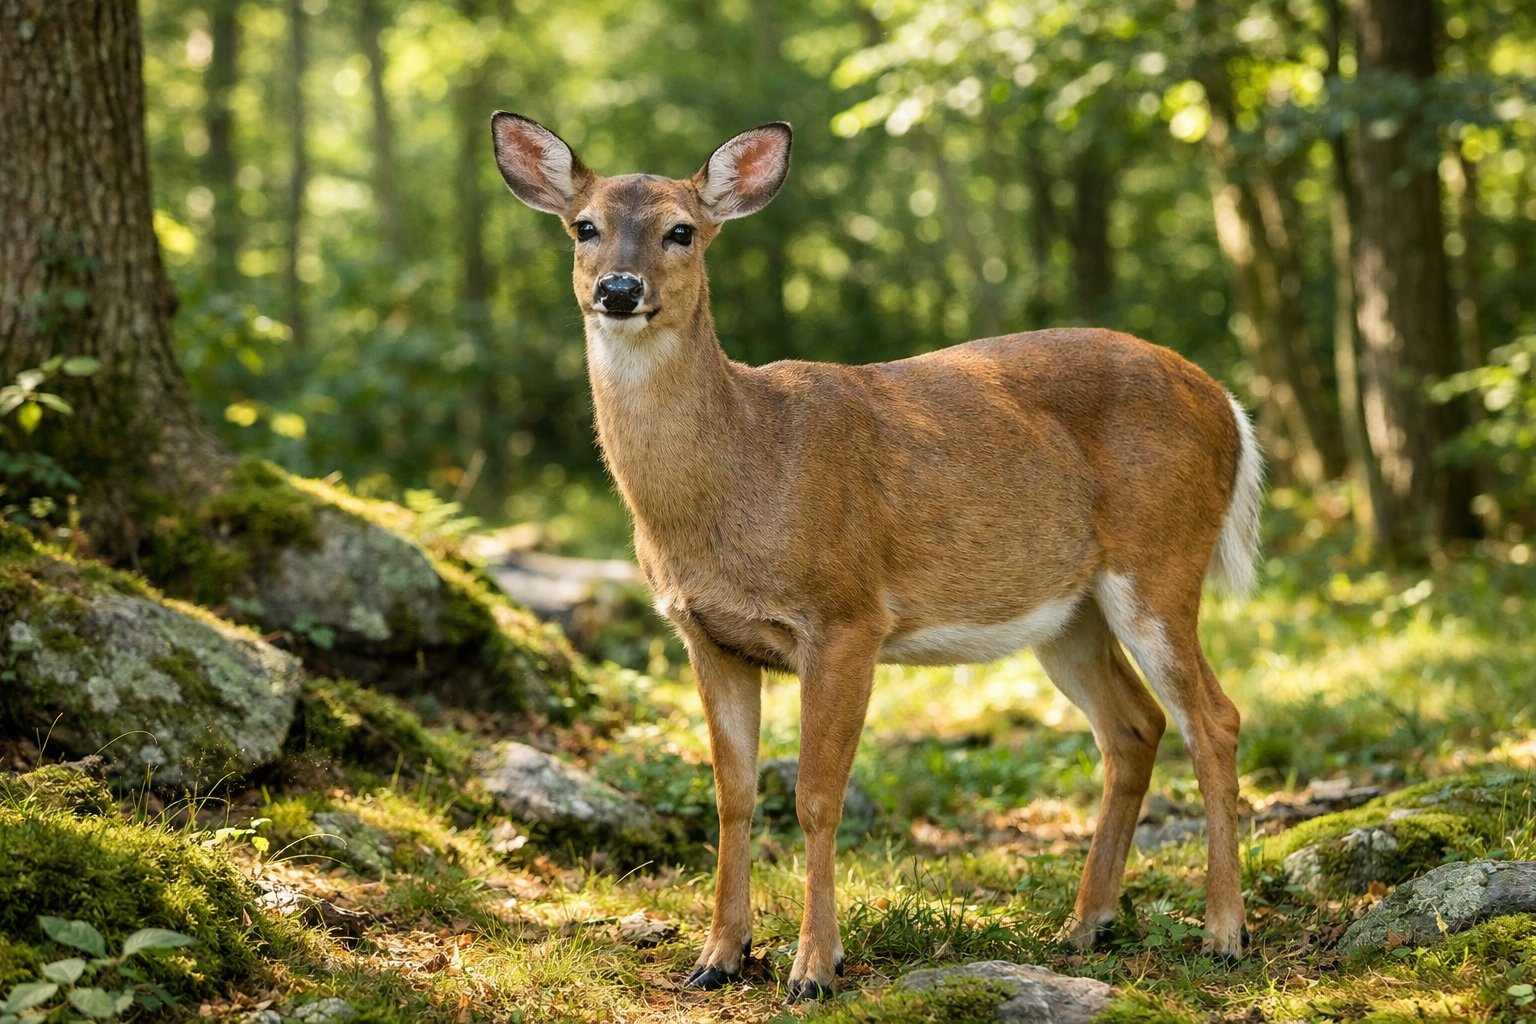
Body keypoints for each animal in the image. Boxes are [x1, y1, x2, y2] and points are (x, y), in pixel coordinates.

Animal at [490, 112, 1263, 1002]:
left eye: (681, 231)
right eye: (583, 227)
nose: (618, 289)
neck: (743, 468)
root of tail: (1230, 406)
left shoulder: (846, 615)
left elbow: (817, 796)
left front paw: (814, 969)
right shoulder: (706, 633)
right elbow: (733, 794)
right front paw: (717, 957)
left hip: (1161, 559)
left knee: (1215, 717)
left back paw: (1224, 933)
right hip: (1069, 612)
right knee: (1135, 725)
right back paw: (1084, 925)